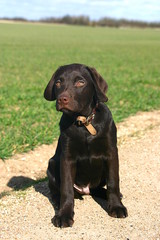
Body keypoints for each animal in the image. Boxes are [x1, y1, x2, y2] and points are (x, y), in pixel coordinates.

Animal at [43, 63, 127, 227]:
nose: (62, 99)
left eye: (80, 82)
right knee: (57, 190)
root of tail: (85, 190)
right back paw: (57, 202)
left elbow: (113, 181)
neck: (84, 123)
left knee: (100, 188)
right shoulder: (66, 158)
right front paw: (64, 214)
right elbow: (66, 189)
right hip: (52, 163)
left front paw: (116, 206)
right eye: (58, 82)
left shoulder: (111, 153)